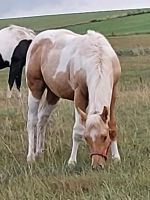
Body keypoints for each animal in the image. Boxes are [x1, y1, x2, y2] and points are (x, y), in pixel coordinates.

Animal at [25, 28, 121, 169]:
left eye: (104, 136)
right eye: (87, 138)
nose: (97, 165)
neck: (98, 57)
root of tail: (37, 40)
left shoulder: (113, 92)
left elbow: (113, 125)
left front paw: (116, 157)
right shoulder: (79, 94)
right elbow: (77, 130)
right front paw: (72, 161)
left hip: (53, 94)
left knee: (42, 119)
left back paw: (39, 152)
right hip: (35, 89)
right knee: (32, 120)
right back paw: (31, 156)